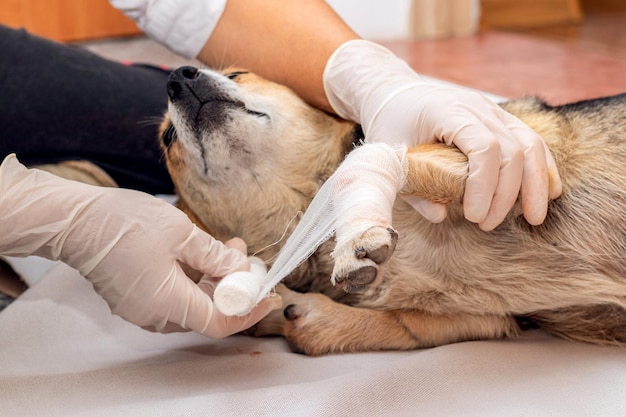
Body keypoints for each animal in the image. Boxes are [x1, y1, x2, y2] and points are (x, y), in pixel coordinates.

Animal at [158, 65, 624, 354]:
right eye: (167, 139)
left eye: (237, 74)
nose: (178, 77)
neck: (301, 205)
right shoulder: (489, 318)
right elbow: (399, 325)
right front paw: (277, 309)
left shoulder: (519, 169)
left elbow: (374, 162)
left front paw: (356, 232)